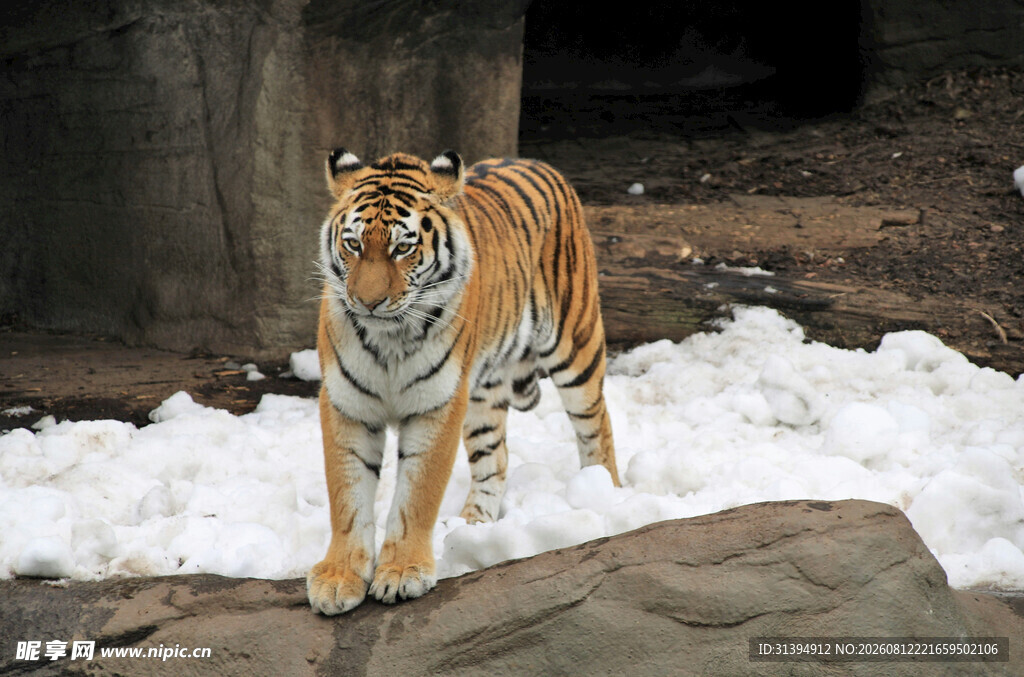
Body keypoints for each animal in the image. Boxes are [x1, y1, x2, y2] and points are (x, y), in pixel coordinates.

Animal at [306, 148, 619, 615]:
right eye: (353, 244)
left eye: (403, 248)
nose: (367, 302)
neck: (389, 337)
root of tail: (538, 162)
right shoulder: (347, 403)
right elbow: (348, 496)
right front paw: (338, 578)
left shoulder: (437, 404)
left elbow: (417, 495)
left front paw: (403, 573)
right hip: (482, 395)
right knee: (496, 458)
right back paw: (474, 526)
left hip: (575, 344)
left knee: (596, 425)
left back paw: (606, 495)